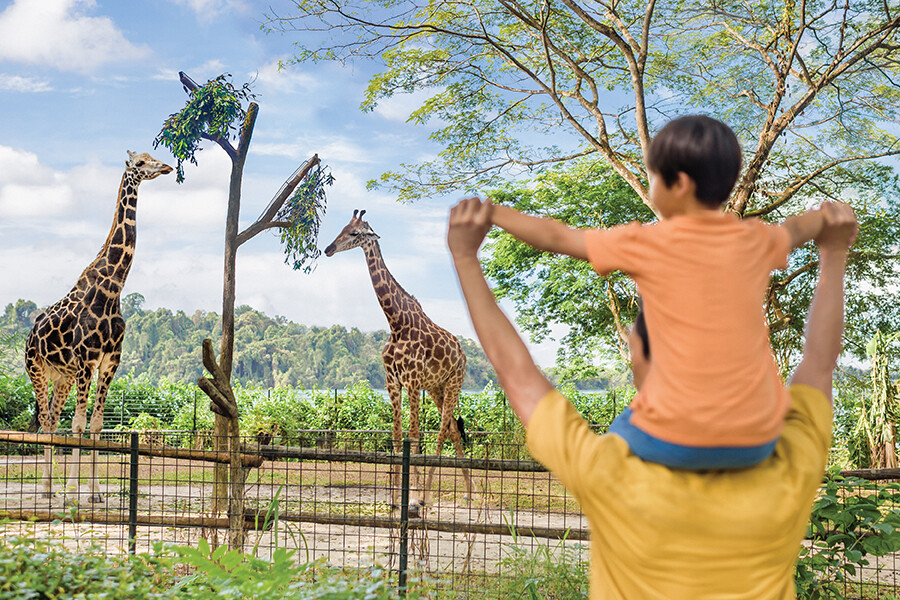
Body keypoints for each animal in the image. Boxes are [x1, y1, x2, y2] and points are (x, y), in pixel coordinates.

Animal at [25, 151, 173, 503]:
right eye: (141, 162)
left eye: (153, 156)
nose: (166, 167)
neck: (113, 289)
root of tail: (30, 335)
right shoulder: (87, 360)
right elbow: (78, 424)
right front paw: (73, 492)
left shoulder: (109, 362)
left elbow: (95, 424)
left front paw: (93, 494)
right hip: (37, 369)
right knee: (47, 420)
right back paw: (48, 489)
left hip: (62, 377)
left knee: (52, 420)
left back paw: (50, 488)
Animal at [324, 210, 473, 516]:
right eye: (342, 227)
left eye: (355, 233)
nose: (328, 249)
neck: (396, 323)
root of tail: (463, 354)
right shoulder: (392, 382)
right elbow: (395, 437)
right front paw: (394, 500)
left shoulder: (413, 381)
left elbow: (414, 435)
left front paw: (413, 499)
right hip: (437, 388)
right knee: (453, 430)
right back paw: (468, 493)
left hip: (454, 383)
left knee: (442, 432)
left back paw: (428, 495)